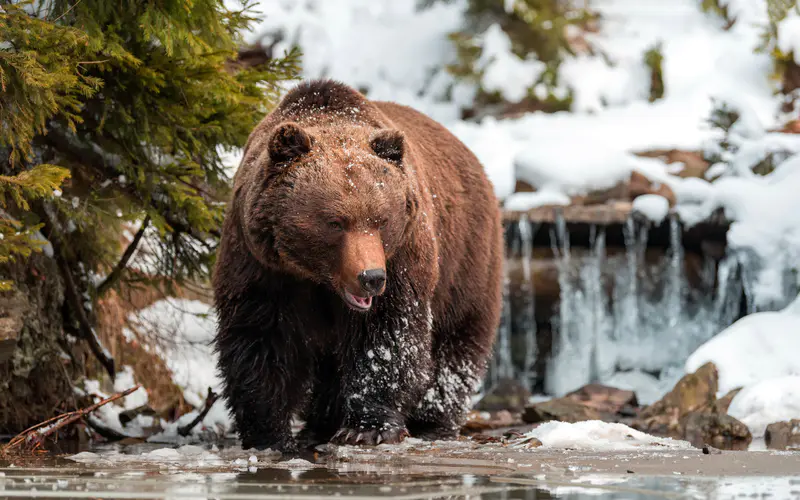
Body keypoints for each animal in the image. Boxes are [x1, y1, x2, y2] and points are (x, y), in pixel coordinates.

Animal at [211, 79, 500, 454]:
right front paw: (270, 434)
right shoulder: (261, 265)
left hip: (466, 258)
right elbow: (261, 338)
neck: (318, 278)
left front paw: (368, 428)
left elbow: (387, 337)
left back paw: (433, 421)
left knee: (457, 340)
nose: (371, 277)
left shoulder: (403, 258)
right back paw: (320, 424)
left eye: (381, 219)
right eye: (335, 222)